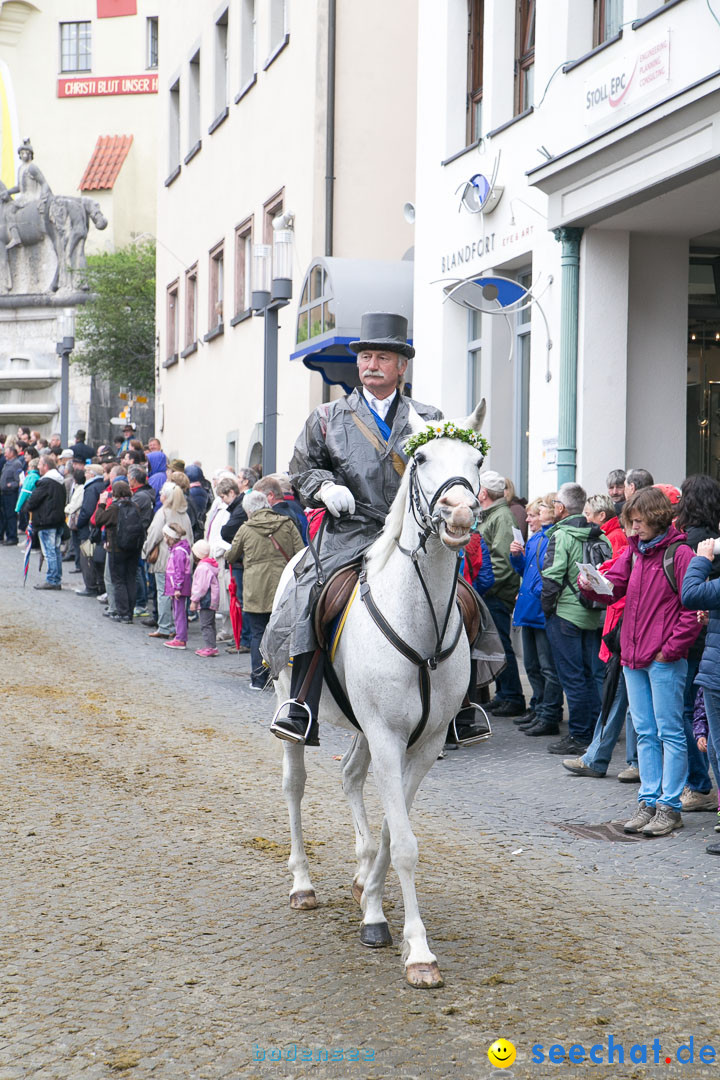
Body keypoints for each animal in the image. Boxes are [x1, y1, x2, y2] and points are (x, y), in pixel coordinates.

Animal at [273, 403, 487, 989]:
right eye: (422, 457)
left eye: (478, 460)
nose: (460, 515)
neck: (419, 619)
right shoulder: (389, 737)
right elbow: (407, 844)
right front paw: (417, 952)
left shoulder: (423, 744)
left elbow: (395, 834)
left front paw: (373, 900)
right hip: (293, 704)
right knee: (295, 785)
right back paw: (303, 884)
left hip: (366, 730)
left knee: (350, 775)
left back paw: (359, 872)